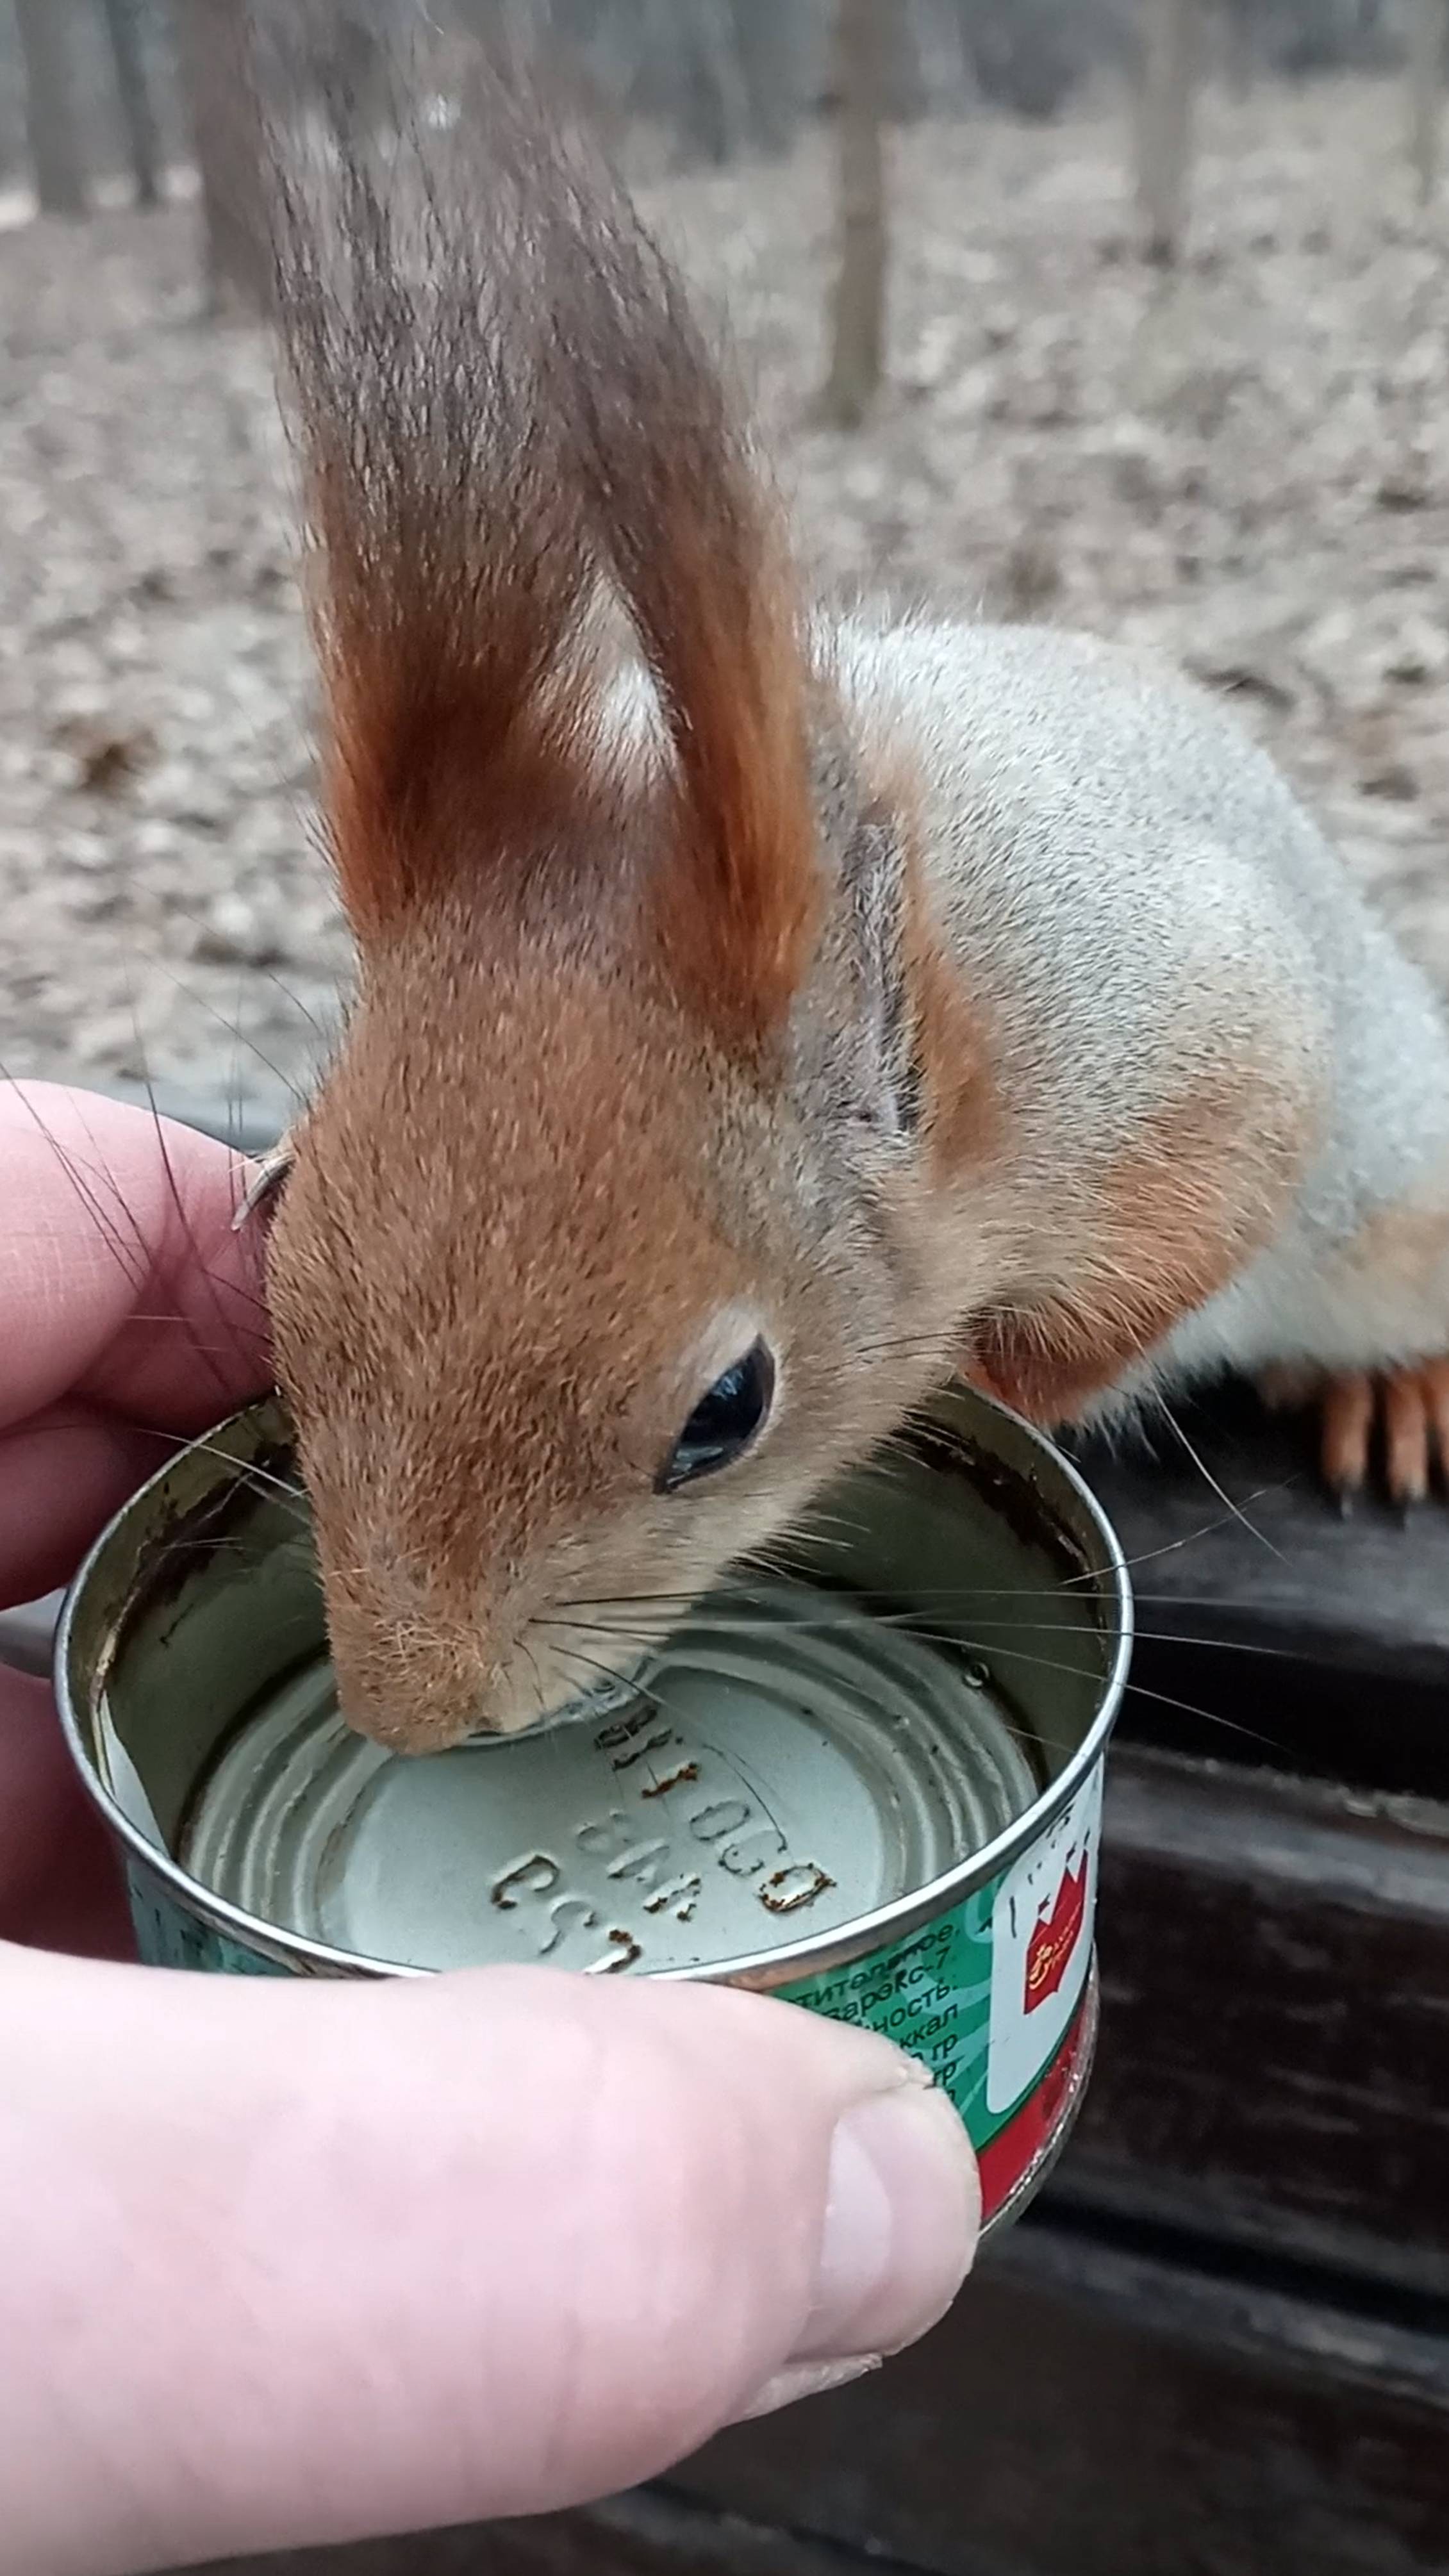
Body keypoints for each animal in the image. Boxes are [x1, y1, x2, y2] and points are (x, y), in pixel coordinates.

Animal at [252, 53, 1449, 1756]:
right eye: (275, 1207)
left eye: (725, 1412)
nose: (407, 1712)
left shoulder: (1183, 1045)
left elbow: (1184, 1230)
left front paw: (989, 1380)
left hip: (1399, 1176)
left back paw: (1387, 1385)